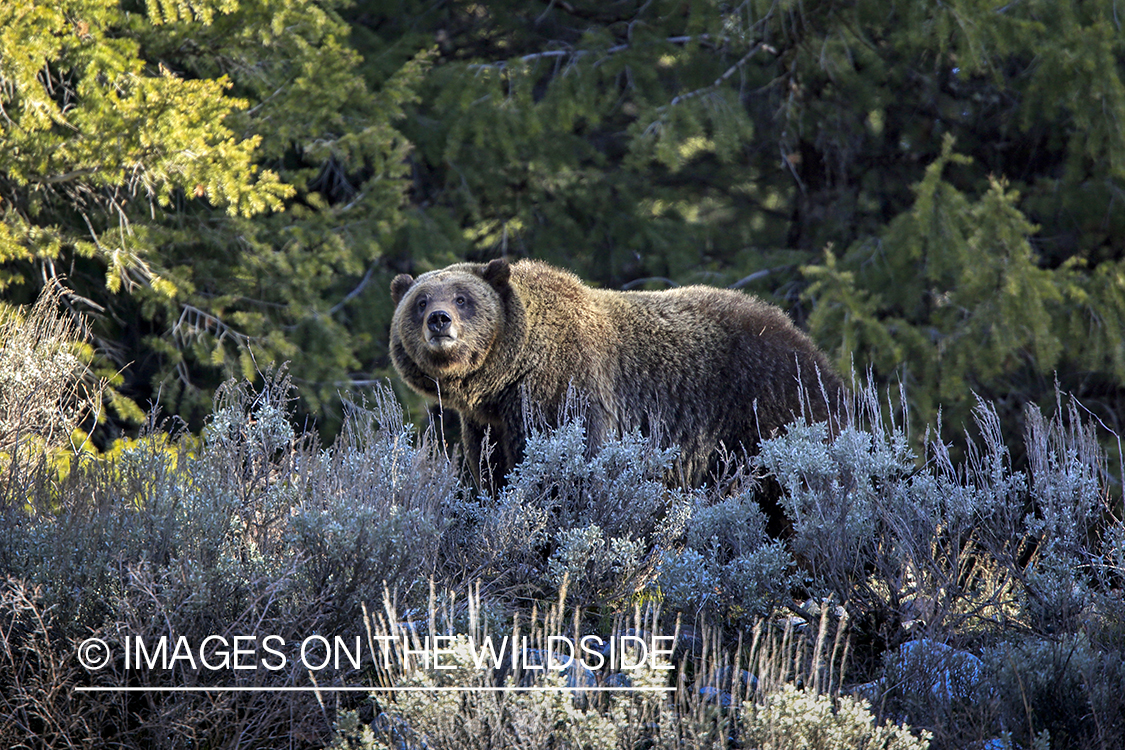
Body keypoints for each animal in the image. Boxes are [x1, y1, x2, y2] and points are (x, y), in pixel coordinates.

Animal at [391, 260, 841, 490]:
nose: (439, 320)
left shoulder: (563, 390)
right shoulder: (487, 421)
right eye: (420, 300)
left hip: (769, 405)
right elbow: (489, 467)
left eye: (462, 298)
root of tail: (806, 342)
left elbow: (567, 457)